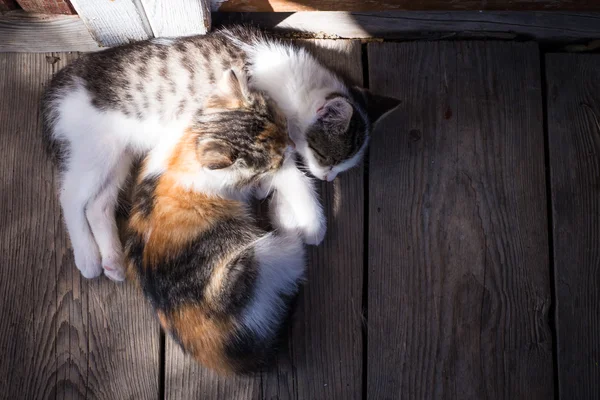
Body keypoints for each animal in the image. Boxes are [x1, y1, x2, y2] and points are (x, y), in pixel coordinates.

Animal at [41, 25, 398, 282]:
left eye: (341, 166)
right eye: (327, 158)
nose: (329, 177)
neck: (298, 86)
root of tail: (60, 82)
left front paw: (278, 202)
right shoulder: (260, 136)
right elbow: (295, 179)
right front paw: (315, 224)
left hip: (119, 155)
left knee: (98, 205)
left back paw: (112, 260)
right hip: (94, 150)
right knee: (71, 197)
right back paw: (88, 258)